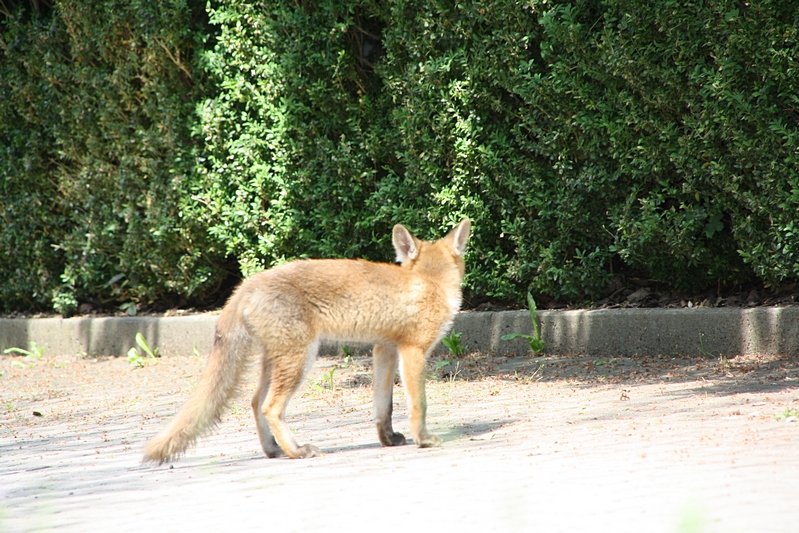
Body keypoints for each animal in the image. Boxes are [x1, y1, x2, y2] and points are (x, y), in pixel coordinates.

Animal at [143, 219, 472, 462]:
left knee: (255, 402)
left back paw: (273, 450)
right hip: (300, 358)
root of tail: (249, 283)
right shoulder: (413, 350)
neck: (429, 282)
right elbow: (419, 404)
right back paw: (297, 451)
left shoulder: (385, 349)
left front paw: (388, 439)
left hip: (277, 361)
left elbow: (383, 407)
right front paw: (423, 440)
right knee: (270, 407)